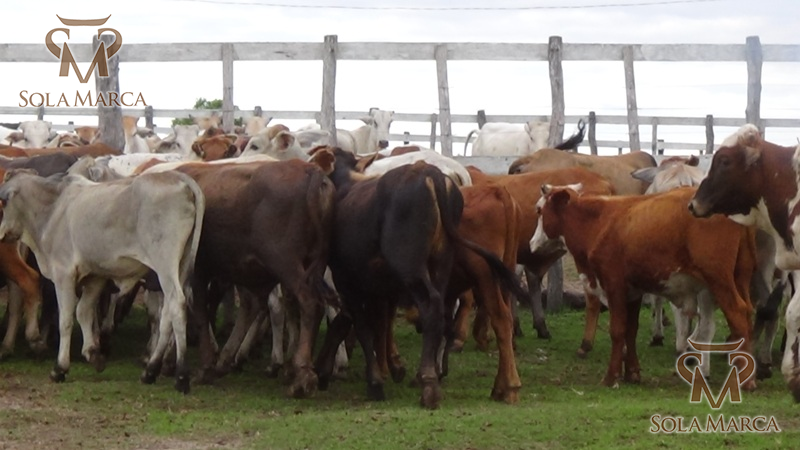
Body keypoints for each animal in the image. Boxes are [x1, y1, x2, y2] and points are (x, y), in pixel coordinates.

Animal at [0, 169, 204, 393]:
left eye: (3, 203)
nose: (2, 235)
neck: (53, 208)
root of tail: (177, 177)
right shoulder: (95, 276)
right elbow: (83, 311)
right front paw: (92, 353)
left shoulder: (64, 274)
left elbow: (66, 320)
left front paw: (60, 368)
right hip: (180, 265)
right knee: (167, 313)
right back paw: (150, 371)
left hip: (165, 263)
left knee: (176, 305)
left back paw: (182, 376)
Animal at [532, 186, 757, 390]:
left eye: (539, 210)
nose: (532, 242)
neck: (600, 222)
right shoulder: (633, 292)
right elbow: (631, 331)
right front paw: (632, 373)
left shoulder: (614, 286)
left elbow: (617, 331)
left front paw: (611, 377)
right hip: (740, 279)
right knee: (747, 315)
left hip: (719, 281)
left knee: (737, 314)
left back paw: (745, 380)